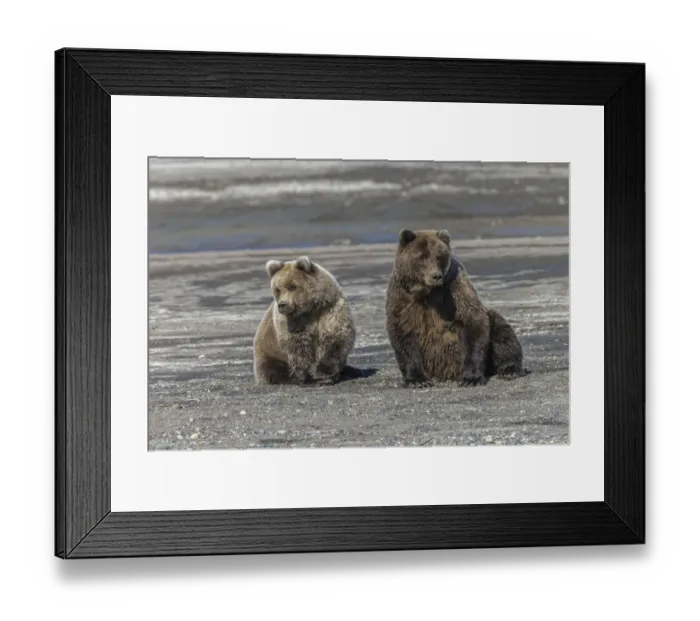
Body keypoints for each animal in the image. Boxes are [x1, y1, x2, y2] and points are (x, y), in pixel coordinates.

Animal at [253, 256, 360, 386]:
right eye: (277, 289)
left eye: (292, 286)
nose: (282, 304)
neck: (311, 309)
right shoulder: (293, 323)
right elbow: (299, 350)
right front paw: (312, 378)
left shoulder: (331, 311)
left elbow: (337, 339)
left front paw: (323, 372)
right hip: (269, 351)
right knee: (273, 368)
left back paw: (351, 371)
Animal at [385, 228, 528, 388]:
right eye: (422, 257)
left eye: (439, 256)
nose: (436, 276)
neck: (427, 292)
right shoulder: (403, 298)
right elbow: (403, 331)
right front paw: (417, 380)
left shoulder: (454, 290)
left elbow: (473, 321)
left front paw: (471, 378)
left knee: (501, 331)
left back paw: (510, 370)